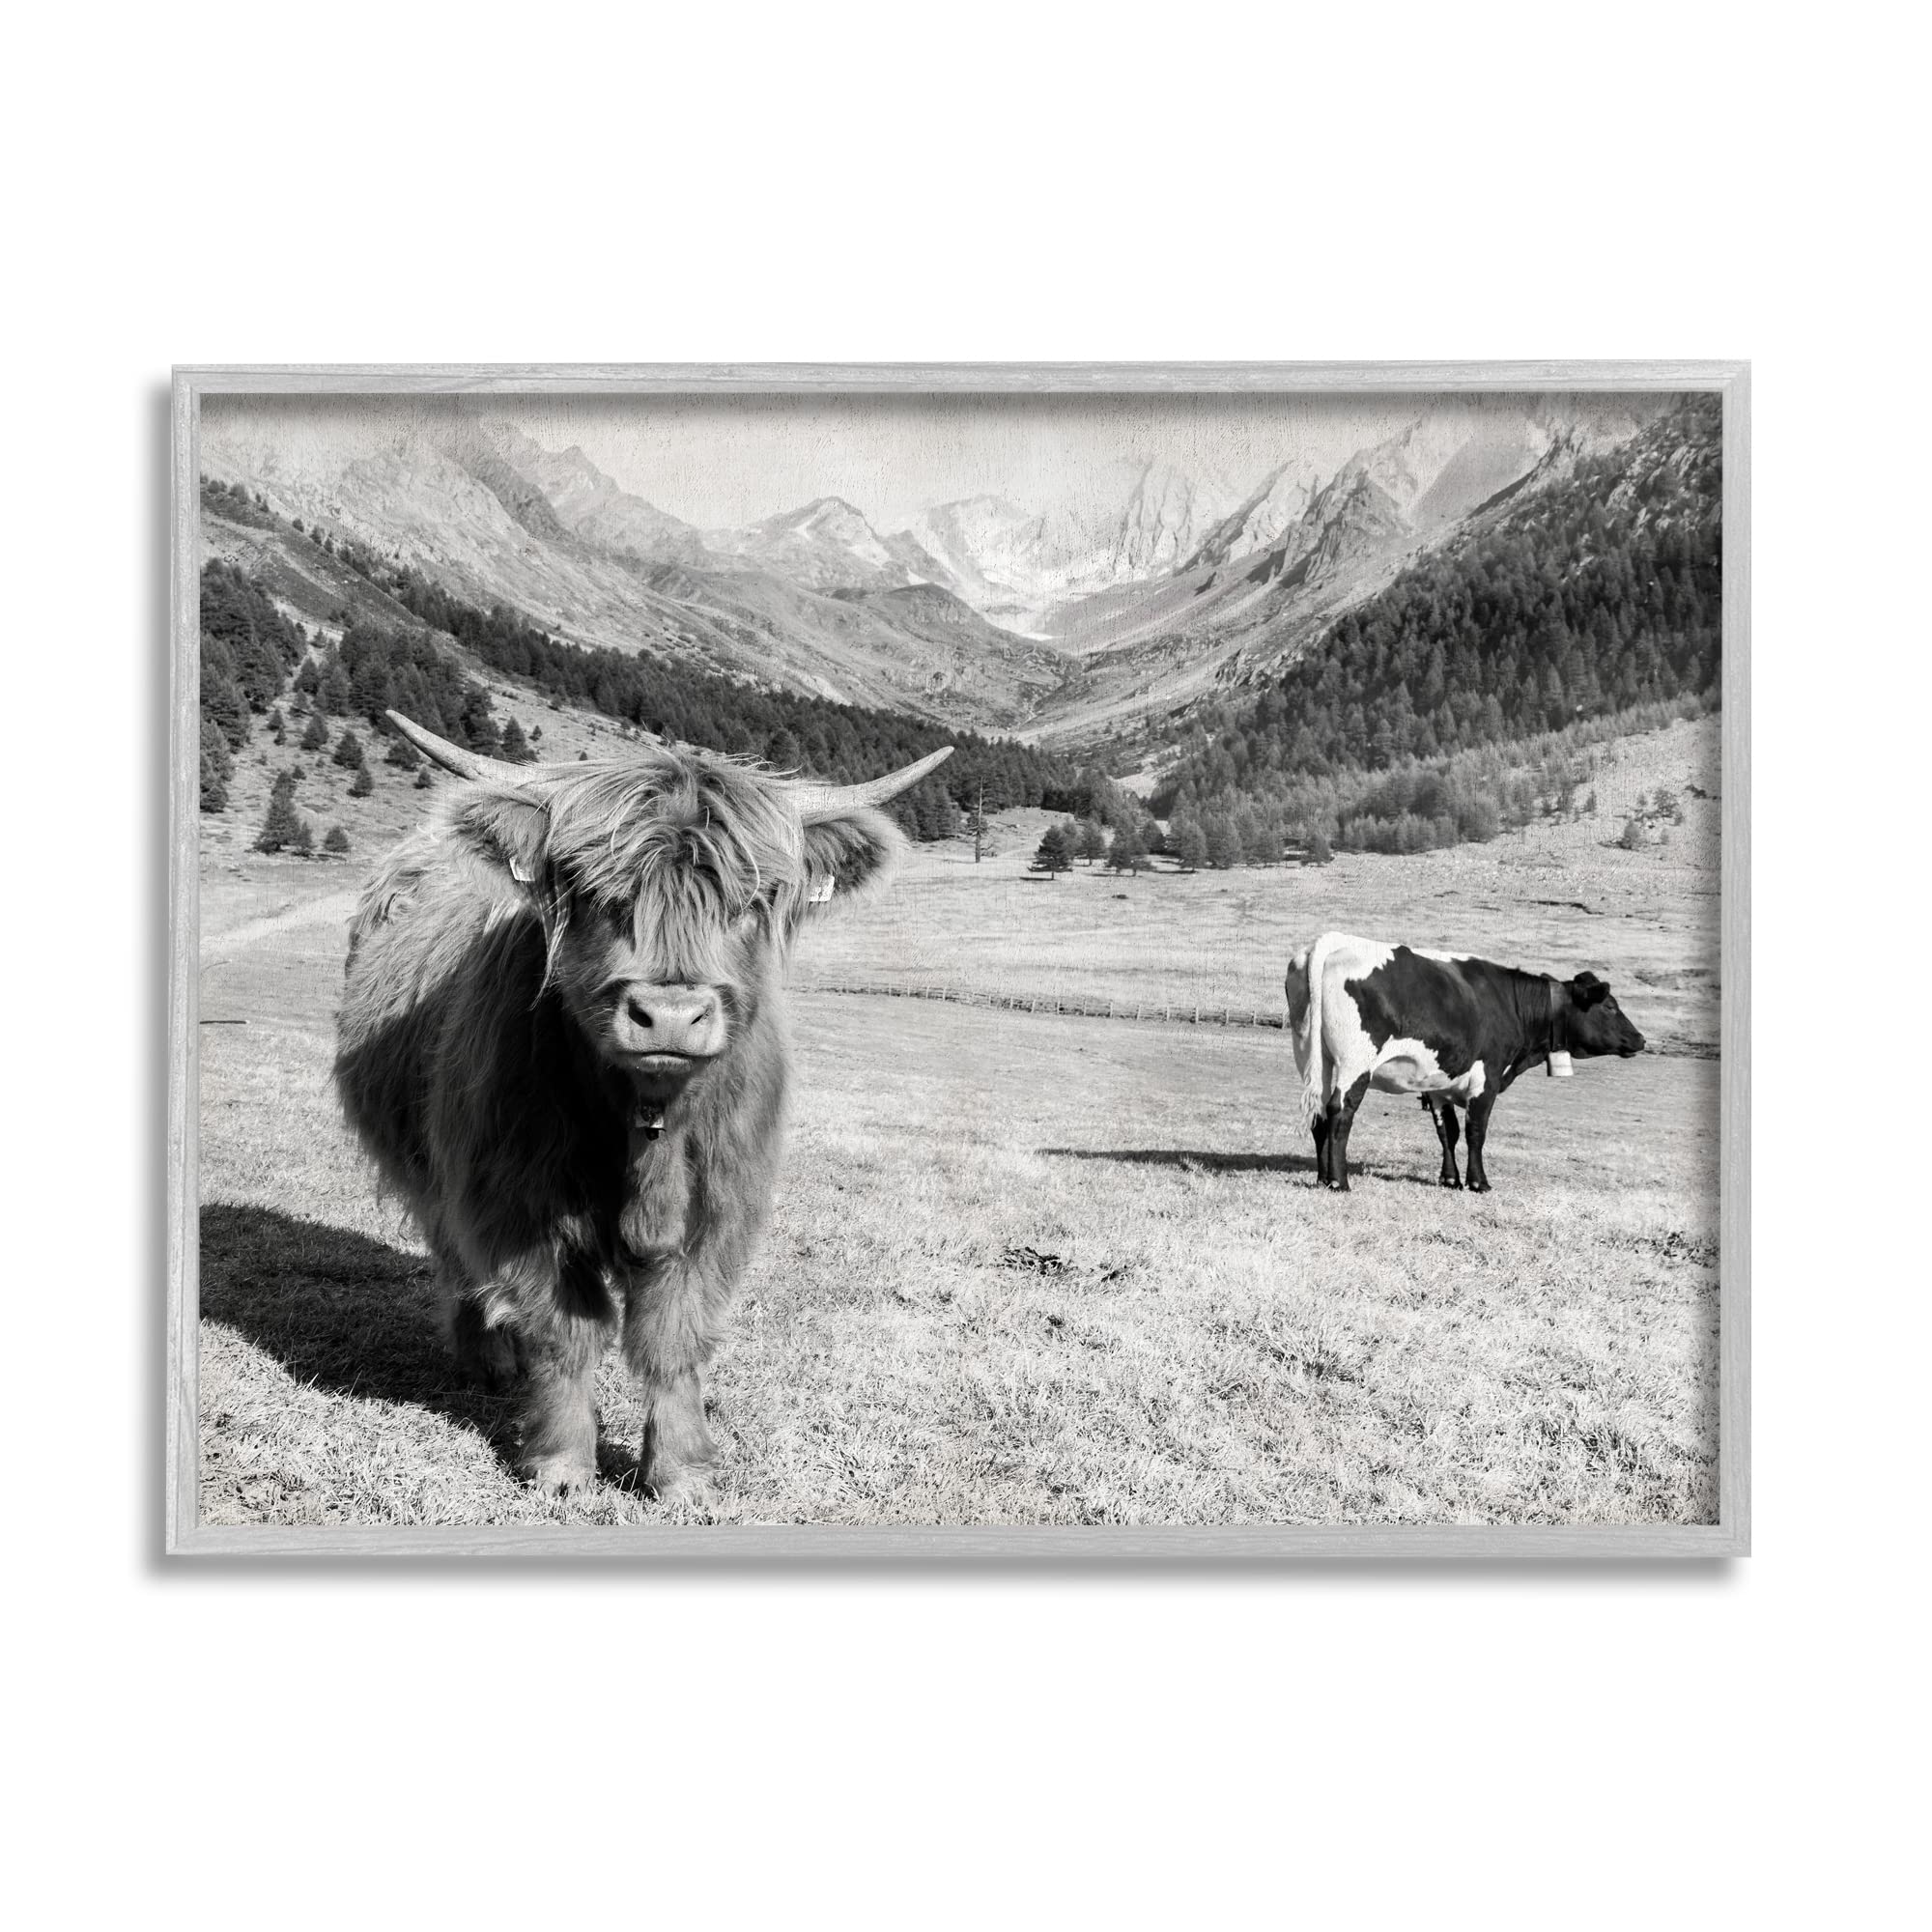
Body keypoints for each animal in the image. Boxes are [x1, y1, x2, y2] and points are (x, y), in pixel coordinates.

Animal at [333, 711, 951, 1501]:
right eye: (597, 893)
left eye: (749, 901)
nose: (669, 1015)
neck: (648, 1123)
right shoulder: (517, 1202)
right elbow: (566, 1331)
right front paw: (562, 1466)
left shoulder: (719, 1209)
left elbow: (673, 1337)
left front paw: (682, 1471)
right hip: (436, 1171)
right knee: (455, 1257)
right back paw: (486, 1361)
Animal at [1284, 931, 1646, 1193]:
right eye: (1610, 1006)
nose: (1640, 1039)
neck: (1511, 1003)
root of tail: (1332, 941)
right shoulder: (1487, 1079)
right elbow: (1475, 1131)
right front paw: (1478, 1182)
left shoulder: (1439, 1082)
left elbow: (1448, 1132)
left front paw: (1450, 1179)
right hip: (1356, 1061)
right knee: (1340, 1110)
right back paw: (1339, 1181)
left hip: (1311, 1055)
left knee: (1319, 1112)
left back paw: (1321, 1178)